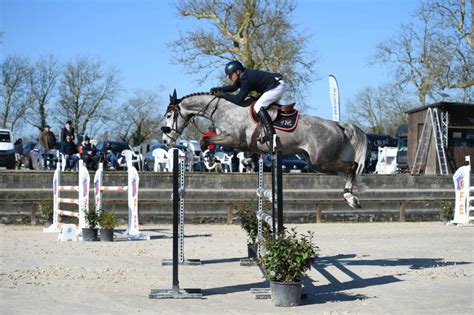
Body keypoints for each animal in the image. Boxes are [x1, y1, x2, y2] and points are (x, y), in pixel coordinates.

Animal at [162, 90, 366, 209]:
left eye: (169, 115)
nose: (165, 139)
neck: (222, 109)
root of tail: (338, 125)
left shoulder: (233, 139)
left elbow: (205, 140)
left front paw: (210, 160)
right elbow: (207, 141)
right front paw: (211, 160)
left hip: (321, 160)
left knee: (353, 166)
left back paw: (351, 197)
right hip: (316, 162)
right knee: (346, 169)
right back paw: (350, 196)